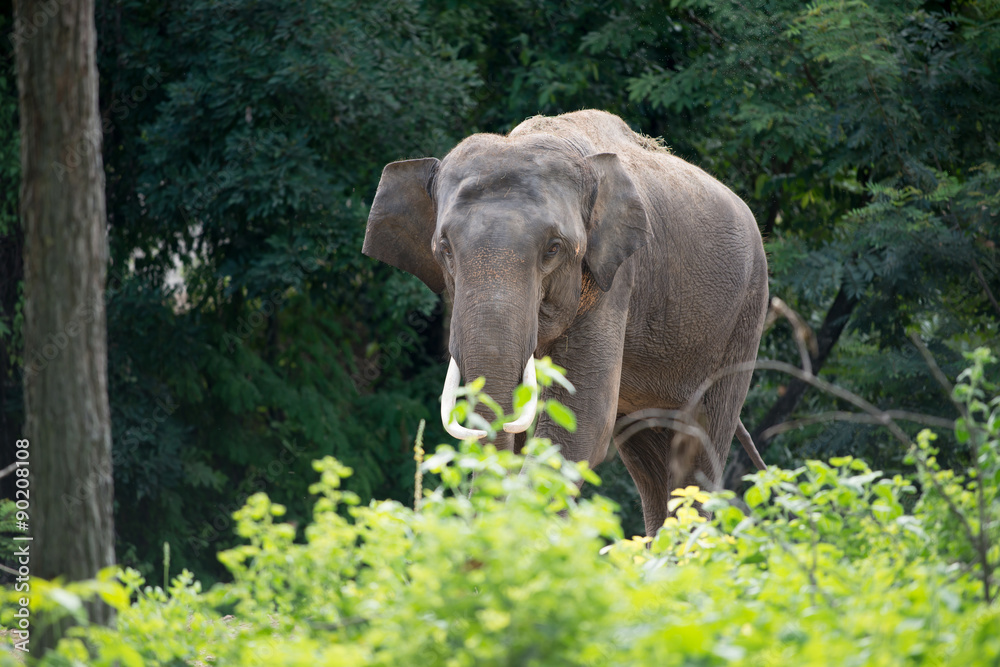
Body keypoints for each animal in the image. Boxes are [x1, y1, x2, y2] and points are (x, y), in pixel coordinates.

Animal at [364, 109, 768, 536]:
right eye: (444, 249)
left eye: (553, 249)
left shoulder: (616, 277)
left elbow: (583, 420)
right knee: (650, 457)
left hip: (745, 313)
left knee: (700, 446)